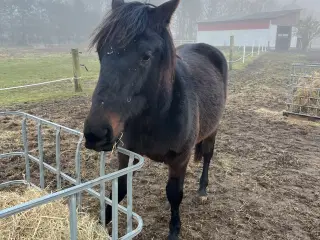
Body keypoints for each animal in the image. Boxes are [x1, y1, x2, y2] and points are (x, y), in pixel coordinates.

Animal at [82, 0, 228, 238]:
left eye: (146, 56)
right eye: (101, 51)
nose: (96, 133)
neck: (157, 116)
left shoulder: (180, 159)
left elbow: (175, 194)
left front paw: (174, 230)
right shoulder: (126, 154)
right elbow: (119, 189)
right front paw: (101, 224)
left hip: (212, 130)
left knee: (207, 156)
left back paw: (202, 190)